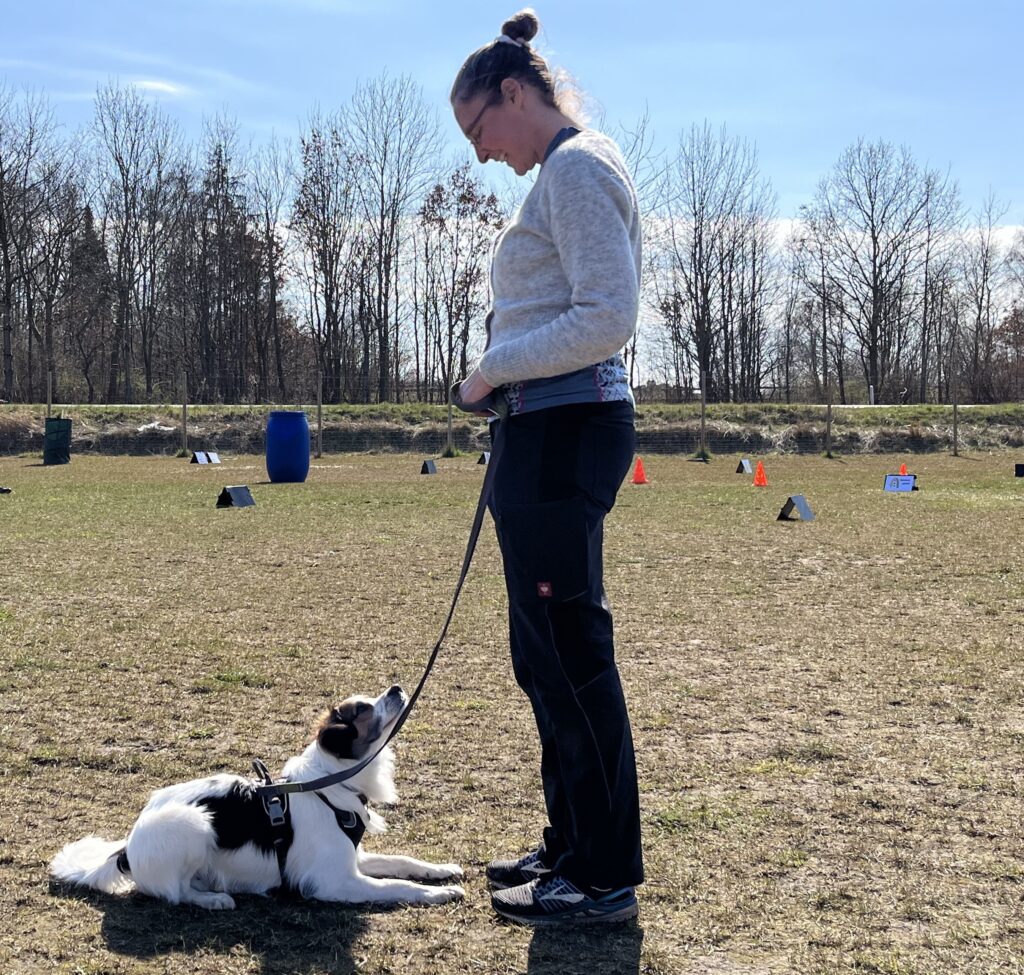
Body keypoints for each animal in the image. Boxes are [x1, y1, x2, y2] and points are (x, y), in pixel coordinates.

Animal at [48, 684, 464, 905]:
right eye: (362, 709)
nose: (396, 688)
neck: (332, 783)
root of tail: (126, 848)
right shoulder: (333, 881)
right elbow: (397, 886)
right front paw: (442, 893)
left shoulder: (354, 858)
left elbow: (403, 861)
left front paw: (443, 870)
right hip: (192, 821)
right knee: (177, 892)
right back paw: (215, 900)